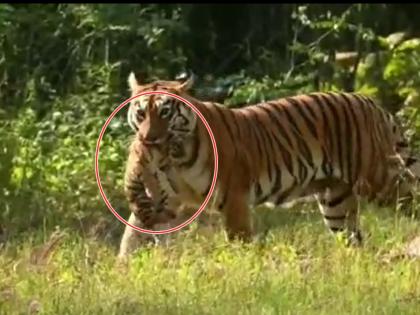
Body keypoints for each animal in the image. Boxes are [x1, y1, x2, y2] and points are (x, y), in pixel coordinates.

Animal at [118, 72, 420, 262]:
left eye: (165, 112)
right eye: (141, 113)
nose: (147, 140)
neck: (178, 155)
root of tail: (371, 102)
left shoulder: (234, 196)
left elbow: (239, 240)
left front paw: (241, 271)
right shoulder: (167, 200)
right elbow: (132, 235)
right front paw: (124, 269)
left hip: (376, 177)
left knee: (409, 197)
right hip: (336, 200)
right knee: (353, 237)